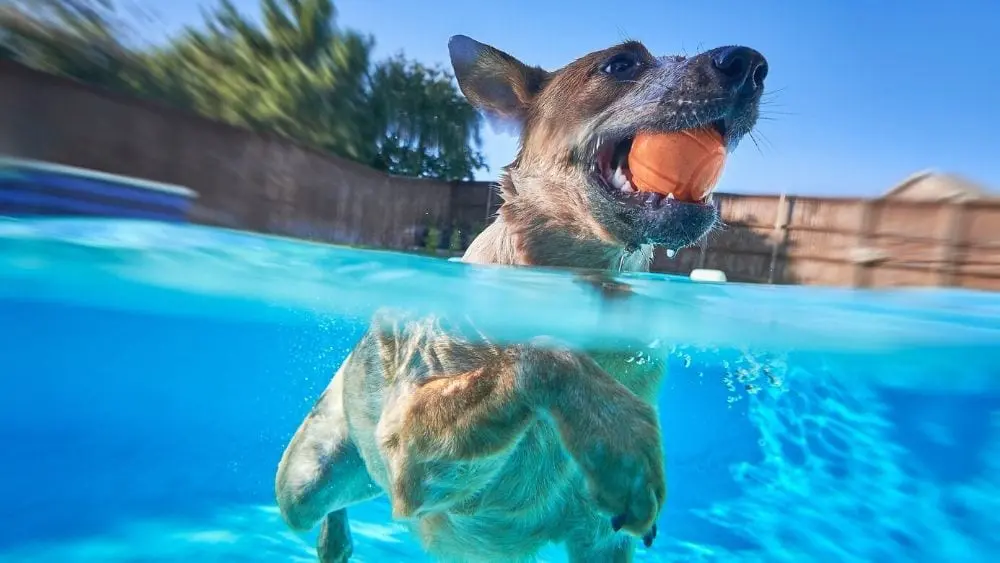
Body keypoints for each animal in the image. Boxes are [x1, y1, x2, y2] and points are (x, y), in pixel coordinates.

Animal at [278, 36, 768, 563]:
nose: (749, 63)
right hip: (304, 482)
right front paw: (621, 439)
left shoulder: (601, 542)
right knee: (323, 503)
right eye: (620, 63)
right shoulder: (407, 450)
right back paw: (334, 539)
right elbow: (546, 354)